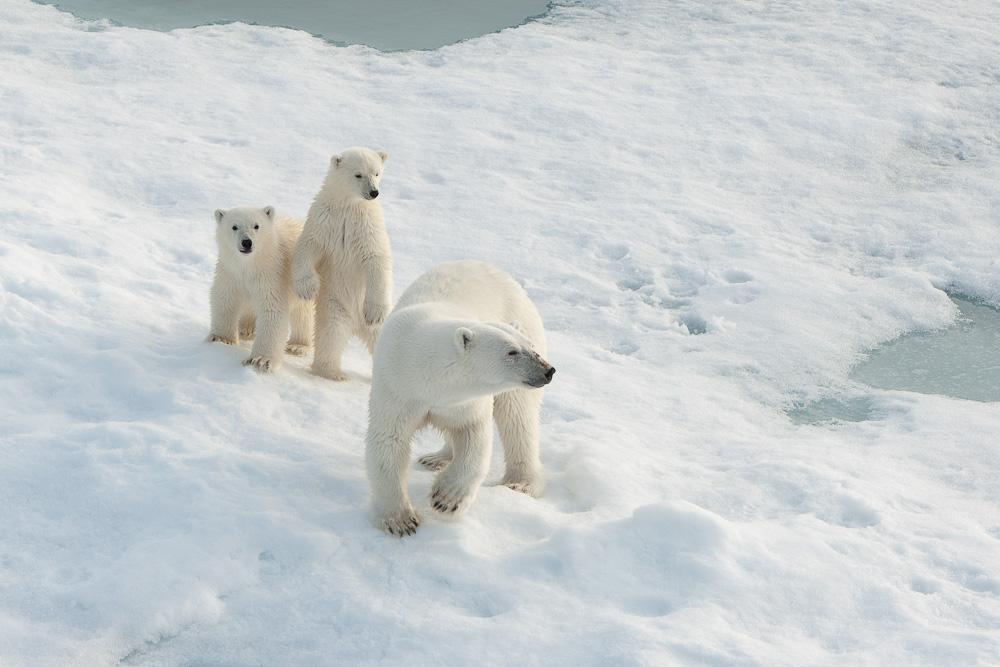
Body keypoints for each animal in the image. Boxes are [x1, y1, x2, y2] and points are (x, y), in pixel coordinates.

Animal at [290, 149, 390, 384]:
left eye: (377, 173)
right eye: (358, 174)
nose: (373, 192)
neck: (348, 207)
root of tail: (357, 327)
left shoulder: (368, 226)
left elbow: (376, 259)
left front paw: (374, 312)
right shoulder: (323, 219)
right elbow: (308, 246)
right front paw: (307, 289)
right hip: (334, 304)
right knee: (330, 335)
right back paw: (334, 373)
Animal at [368, 260, 556, 536]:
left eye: (530, 347)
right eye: (511, 351)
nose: (548, 370)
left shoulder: (466, 400)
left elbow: (473, 434)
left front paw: (446, 498)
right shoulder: (397, 387)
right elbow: (389, 440)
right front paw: (400, 521)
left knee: (517, 416)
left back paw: (522, 483)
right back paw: (436, 457)